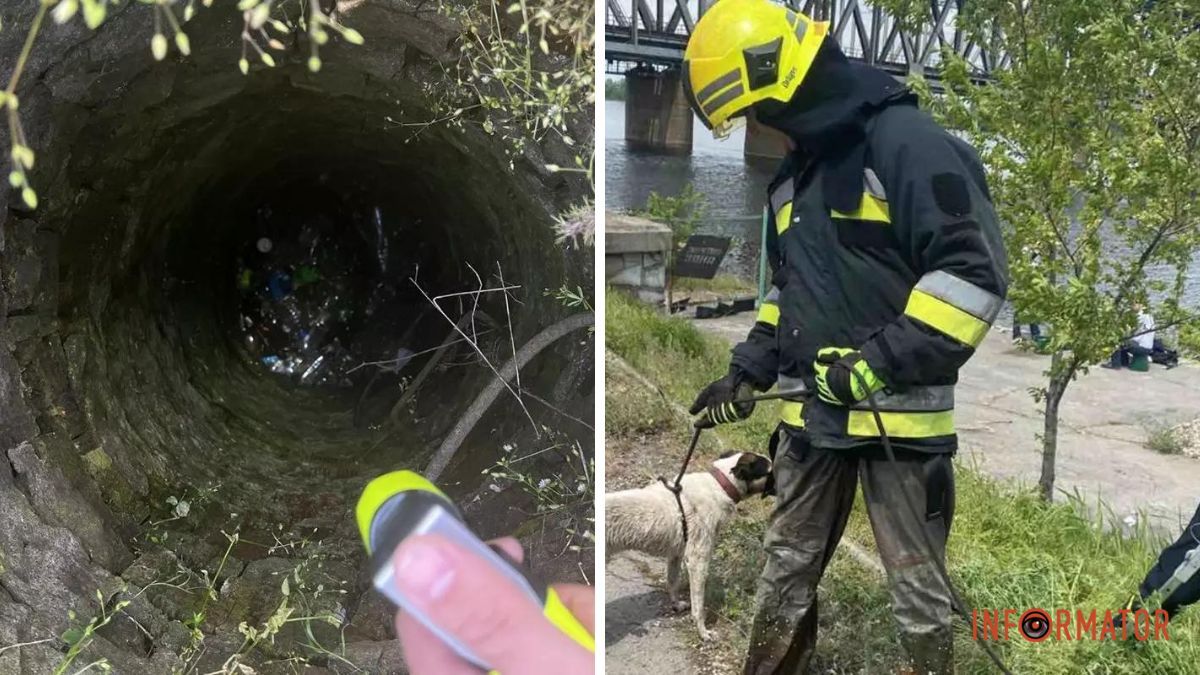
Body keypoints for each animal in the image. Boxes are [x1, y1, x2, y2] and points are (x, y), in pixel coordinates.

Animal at [604, 449, 772, 638]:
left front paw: (675, 605)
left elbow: (672, 582)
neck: (719, 485)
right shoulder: (698, 562)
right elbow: (698, 606)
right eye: (770, 471)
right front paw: (702, 631)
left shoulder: (675, 555)